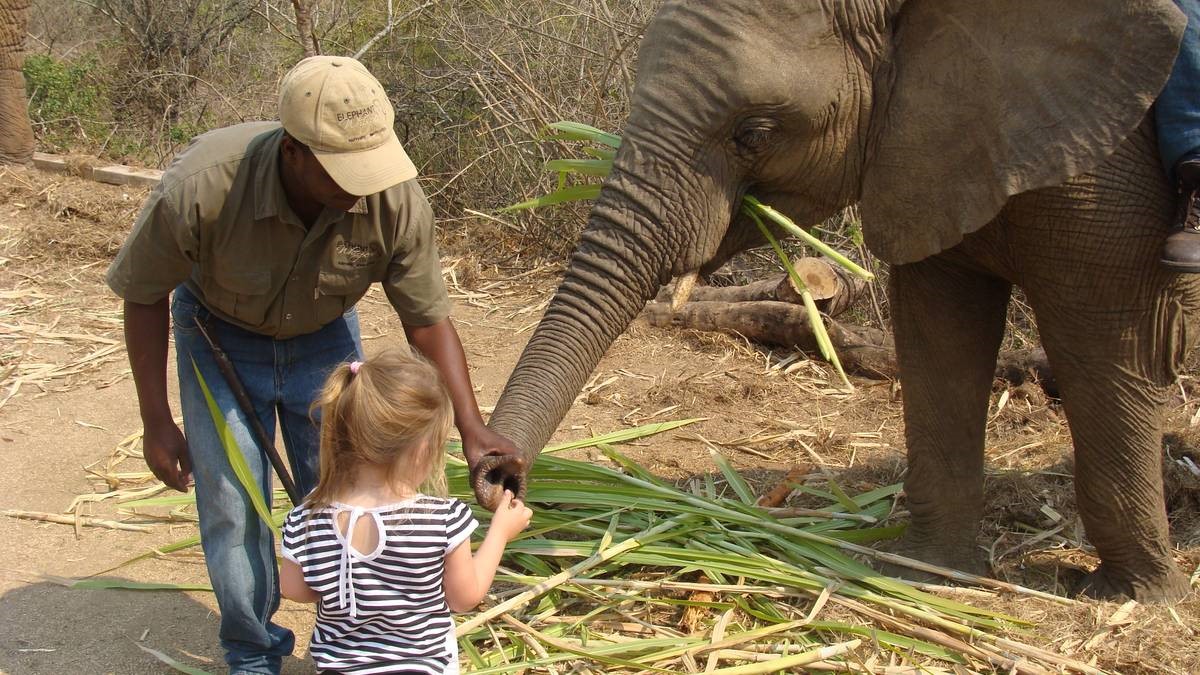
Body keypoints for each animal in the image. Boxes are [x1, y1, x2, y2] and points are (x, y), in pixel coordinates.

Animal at [465, 0, 1200, 598]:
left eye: (755, 132)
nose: (498, 478)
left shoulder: (1106, 167)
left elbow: (1106, 340)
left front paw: (1128, 596)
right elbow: (940, 331)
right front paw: (930, 573)